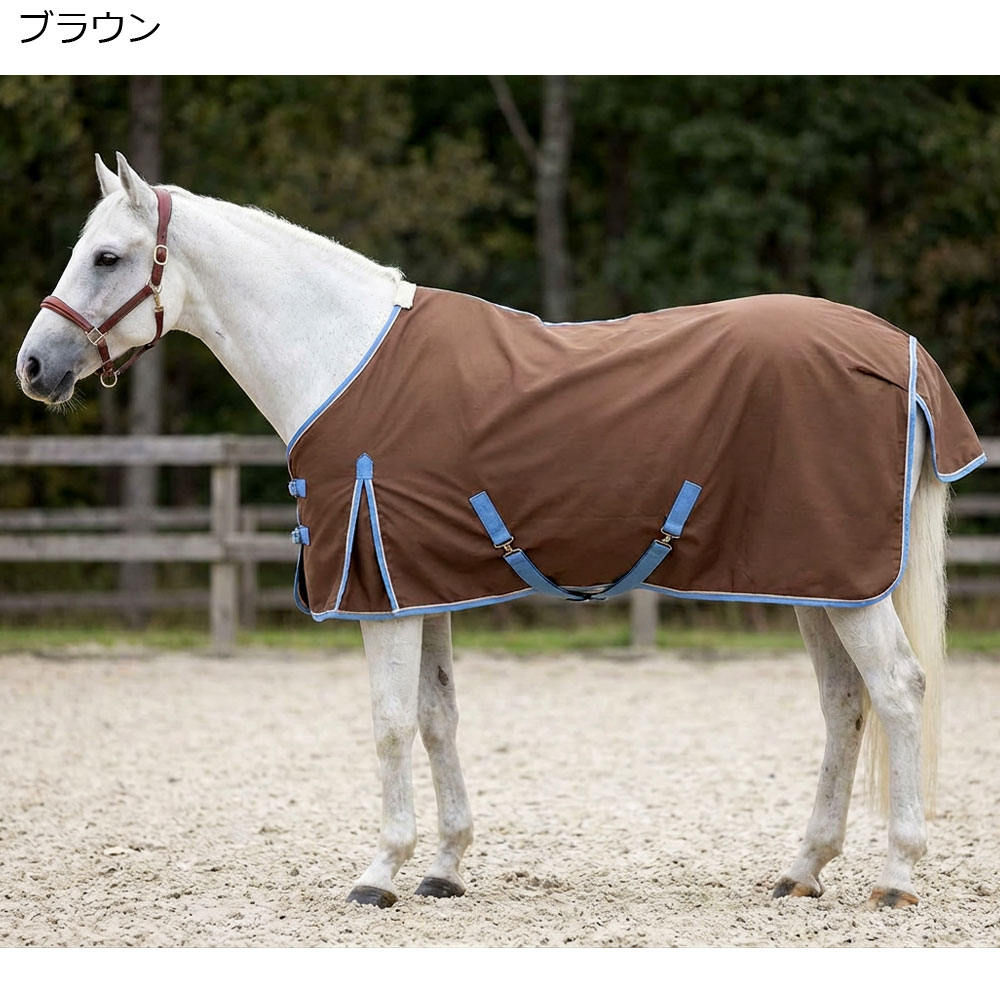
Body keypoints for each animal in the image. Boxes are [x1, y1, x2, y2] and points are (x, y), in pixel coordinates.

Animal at [16, 153, 986, 911]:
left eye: (107, 255)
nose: (33, 367)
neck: (342, 355)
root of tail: (897, 351)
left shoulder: (380, 593)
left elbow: (389, 725)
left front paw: (379, 872)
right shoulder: (416, 583)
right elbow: (439, 718)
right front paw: (444, 866)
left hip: (846, 583)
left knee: (898, 691)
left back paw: (896, 875)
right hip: (814, 580)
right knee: (844, 703)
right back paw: (803, 869)